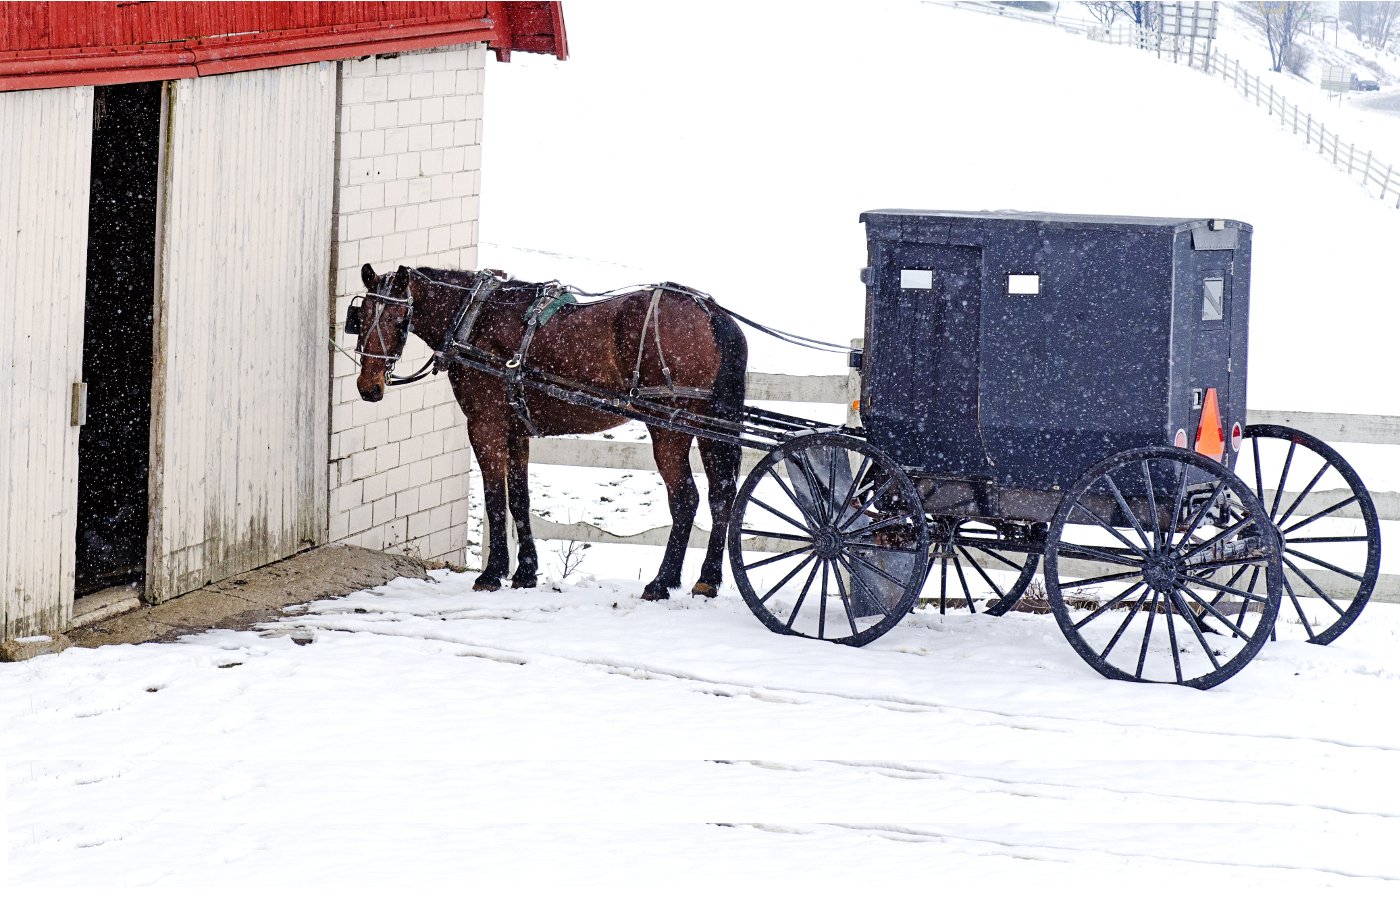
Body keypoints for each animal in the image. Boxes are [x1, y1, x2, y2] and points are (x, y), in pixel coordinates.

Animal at [352, 264, 744, 601]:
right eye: (362, 316)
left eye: (398, 319)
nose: (369, 387)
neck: (475, 318)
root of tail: (711, 312)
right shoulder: (516, 430)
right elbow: (520, 499)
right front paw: (525, 572)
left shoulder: (484, 425)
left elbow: (495, 497)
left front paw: (491, 574)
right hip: (708, 426)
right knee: (721, 496)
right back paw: (707, 579)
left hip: (669, 429)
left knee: (686, 498)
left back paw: (661, 582)